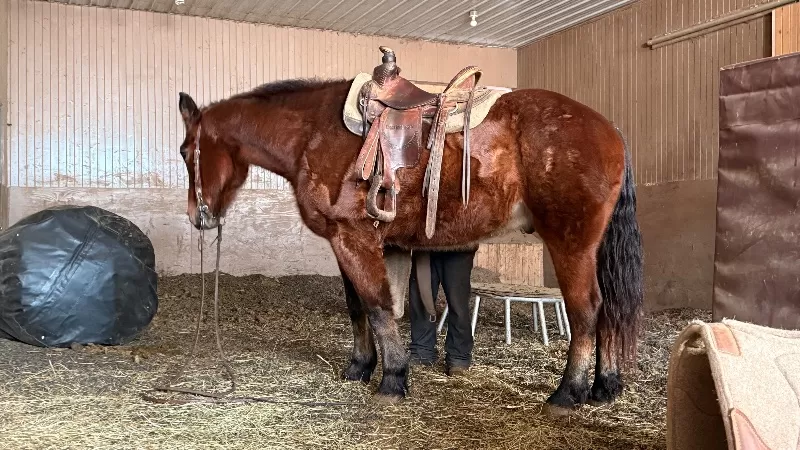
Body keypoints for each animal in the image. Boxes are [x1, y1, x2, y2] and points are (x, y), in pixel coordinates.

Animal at [175, 51, 644, 416]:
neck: (311, 133)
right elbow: (358, 309)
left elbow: (378, 306)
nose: (199, 217)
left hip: (571, 244)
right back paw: (604, 387)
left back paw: (568, 394)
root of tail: (610, 128)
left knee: (586, 310)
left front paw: (392, 379)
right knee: (605, 311)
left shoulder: (353, 238)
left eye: (184, 151)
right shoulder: (344, 243)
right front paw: (360, 368)